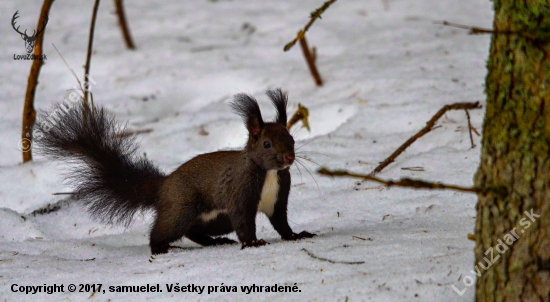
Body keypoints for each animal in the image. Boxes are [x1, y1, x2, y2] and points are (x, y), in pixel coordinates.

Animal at [36, 88, 316, 254]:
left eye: (291, 138)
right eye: (266, 143)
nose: (289, 157)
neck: (269, 173)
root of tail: (163, 186)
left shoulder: (277, 197)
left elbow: (281, 222)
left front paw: (295, 235)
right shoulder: (239, 192)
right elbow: (244, 221)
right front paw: (252, 242)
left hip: (215, 220)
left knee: (194, 231)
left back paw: (215, 242)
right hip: (182, 208)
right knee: (164, 231)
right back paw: (162, 248)